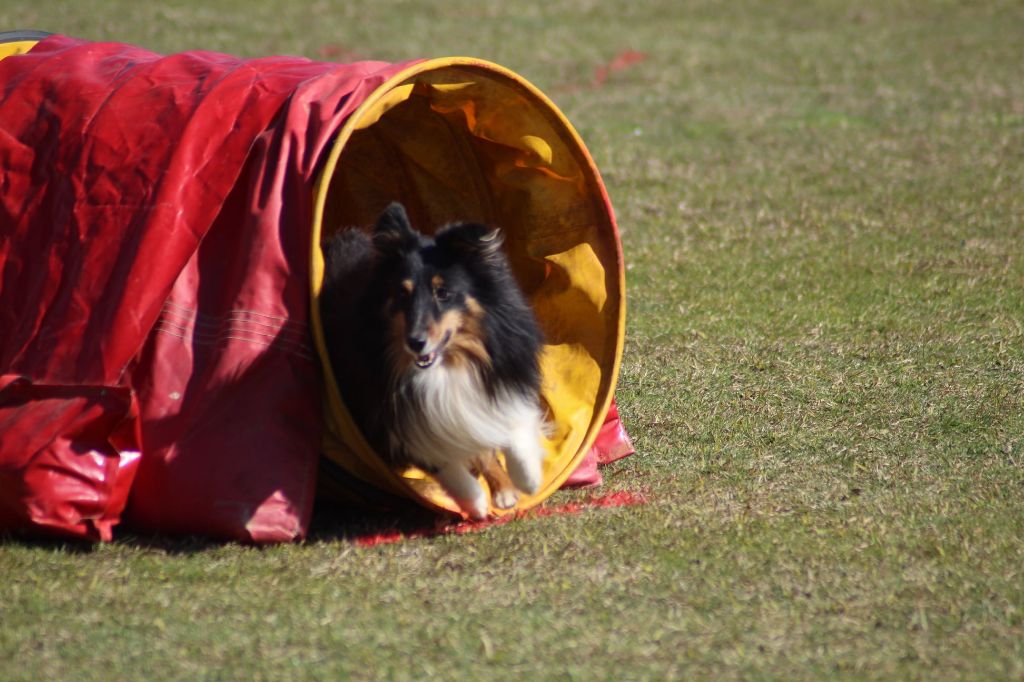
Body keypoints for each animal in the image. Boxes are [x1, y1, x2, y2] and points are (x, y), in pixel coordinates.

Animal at [321, 200, 548, 516]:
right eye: (401, 293)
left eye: (443, 292)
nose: (415, 343)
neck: (448, 365)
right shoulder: (392, 418)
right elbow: (444, 463)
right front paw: (476, 502)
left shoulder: (505, 371)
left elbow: (513, 421)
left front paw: (528, 479)